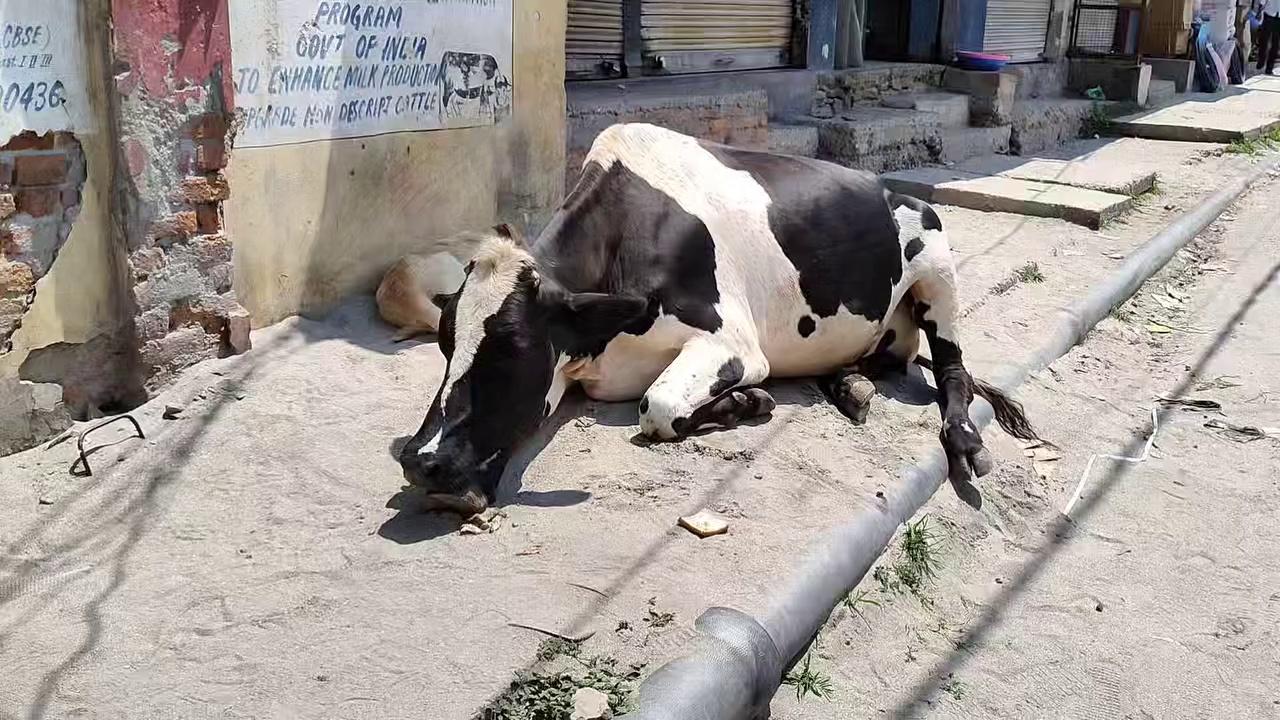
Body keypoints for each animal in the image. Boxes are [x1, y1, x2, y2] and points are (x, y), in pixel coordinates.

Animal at [399, 124, 1039, 515]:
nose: (420, 461)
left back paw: (963, 439)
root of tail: (891, 189)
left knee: (953, 370)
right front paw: (750, 402)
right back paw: (850, 386)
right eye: (445, 343)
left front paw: (748, 402)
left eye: (510, 348)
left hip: (938, 262)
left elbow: (657, 406)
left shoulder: (730, 341)